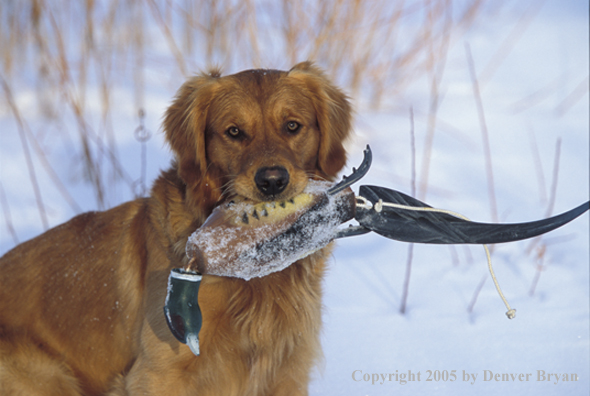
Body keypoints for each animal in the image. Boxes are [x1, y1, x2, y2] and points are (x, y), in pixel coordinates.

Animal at [0, 60, 352, 394]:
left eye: (292, 126)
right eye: (234, 131)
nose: (272, 181)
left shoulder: (289, 369)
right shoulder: (157, 372)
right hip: (45, 373)